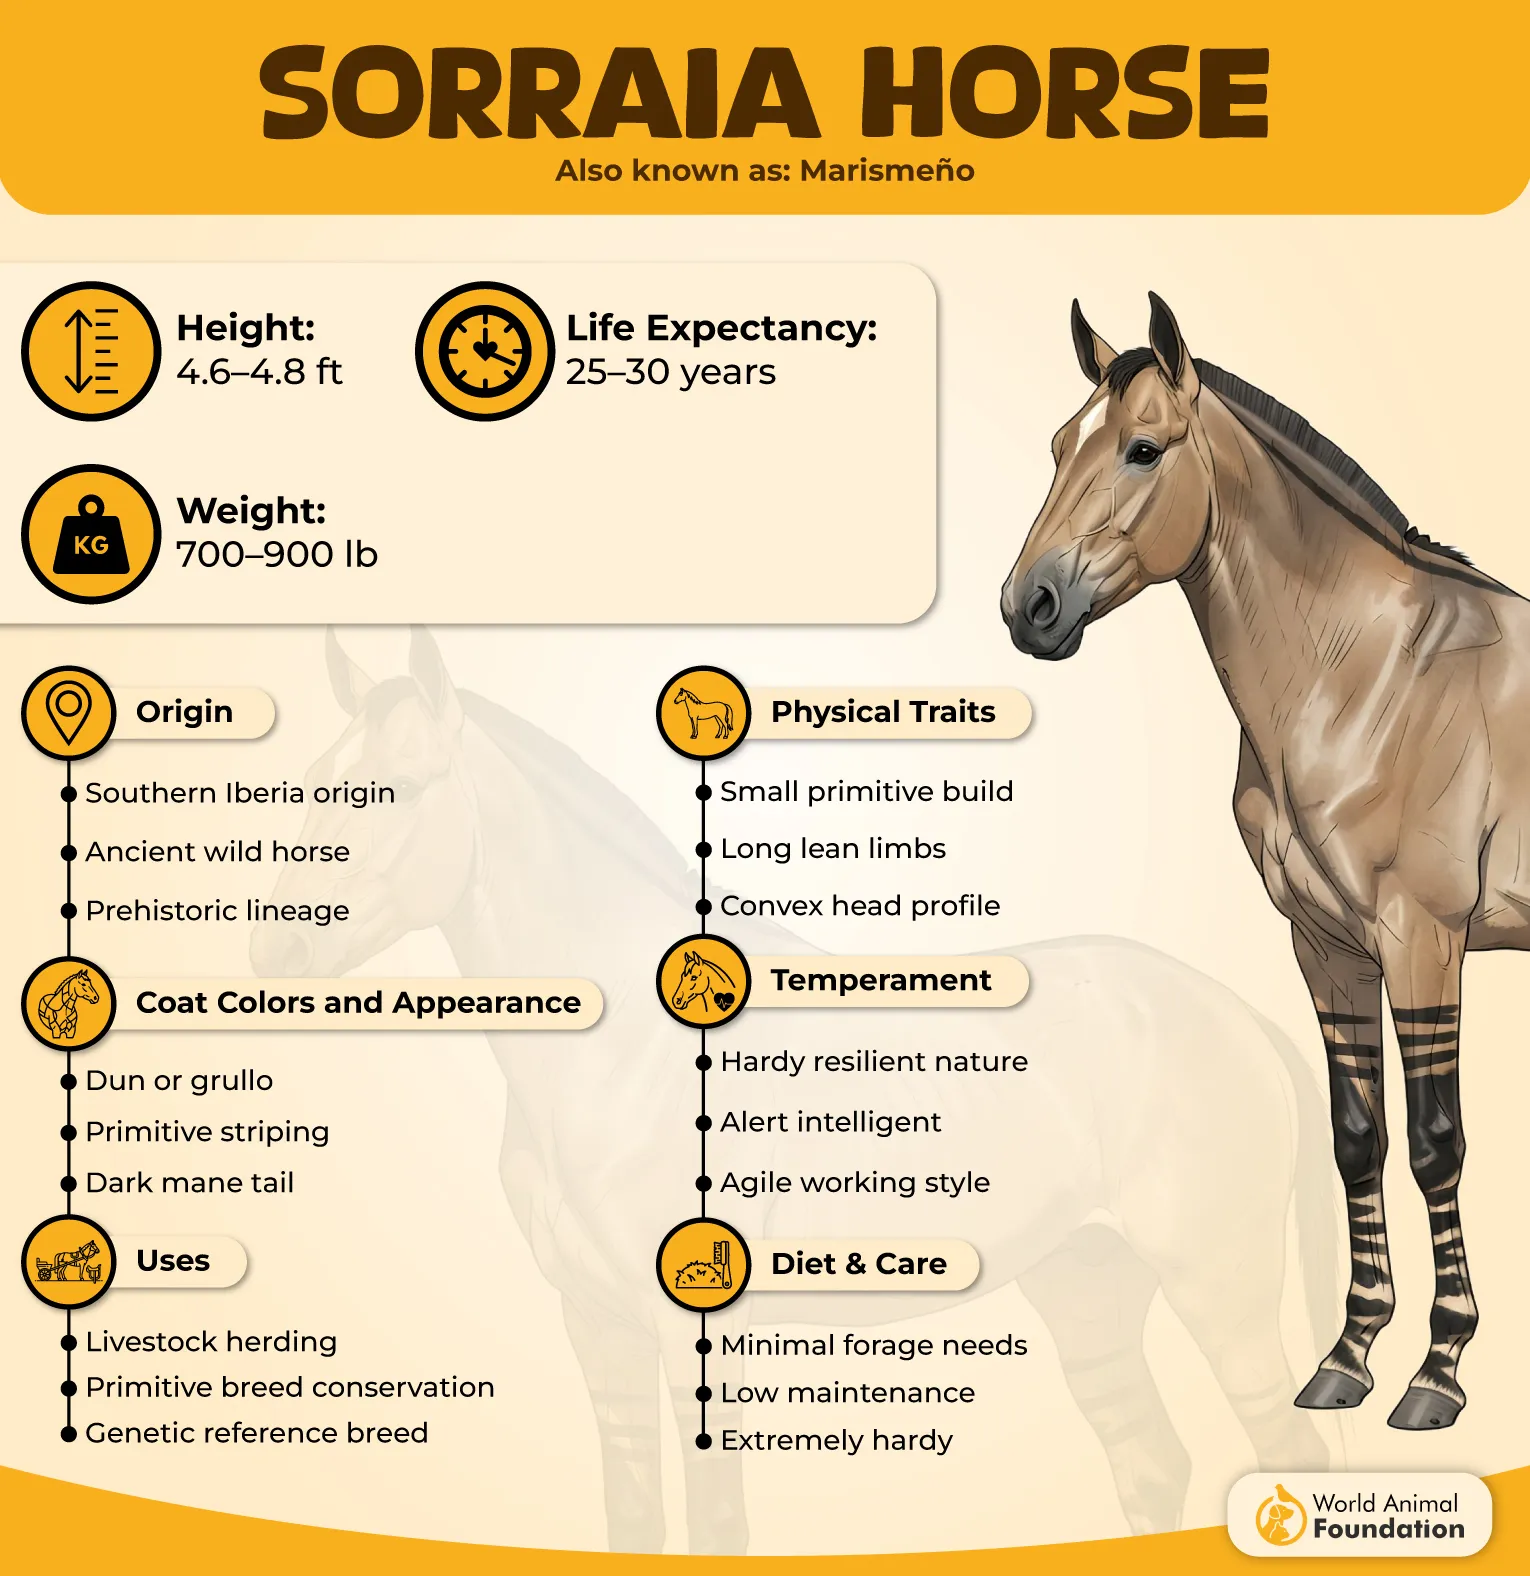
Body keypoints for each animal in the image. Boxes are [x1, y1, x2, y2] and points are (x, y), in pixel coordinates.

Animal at [249, 629, 1335, 1551]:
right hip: (1089, 1286)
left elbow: (716, 1526)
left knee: (1284, 1457)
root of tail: (1245, 1018)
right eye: (315, 784)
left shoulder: (698, 1342)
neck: (631, 1060)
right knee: (1151, 1463)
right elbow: (632, 1522)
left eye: (392, 789)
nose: (276, 952)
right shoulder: (597, 1331)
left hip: (1220, 1290)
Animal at [1001, 293, 1528, 1431]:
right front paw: (1349, 1354)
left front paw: (1438, 1371)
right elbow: (1355, 1136)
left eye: (1144, 448)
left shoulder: (1424, 943)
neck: (1370, 674)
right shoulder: (1326, 949)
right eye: (1060, 445)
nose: (1030, 607)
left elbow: (1436, 1142)